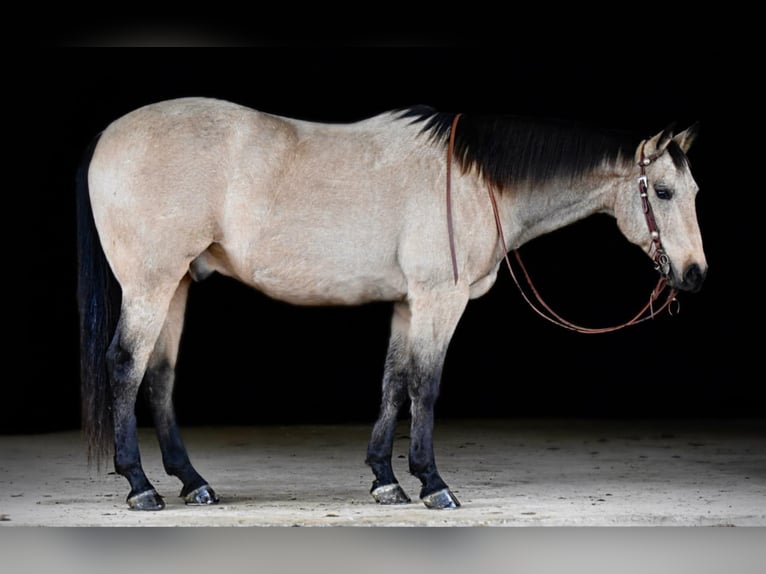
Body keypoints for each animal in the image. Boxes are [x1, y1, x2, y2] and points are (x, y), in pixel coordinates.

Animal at [78, 99, 708, 512]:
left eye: (695, 191)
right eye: (664, 192)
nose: (695, 275)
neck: (474, 179)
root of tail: (108, 137)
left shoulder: (409, 305)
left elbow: (394, 381)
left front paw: (385, 479)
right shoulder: (438, 300)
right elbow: (425, 386)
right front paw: (432, 483)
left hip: (176, 285)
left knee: (159, 376)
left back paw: (191, 481)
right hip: (151, 284)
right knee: (125, 366)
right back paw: (141, 486)